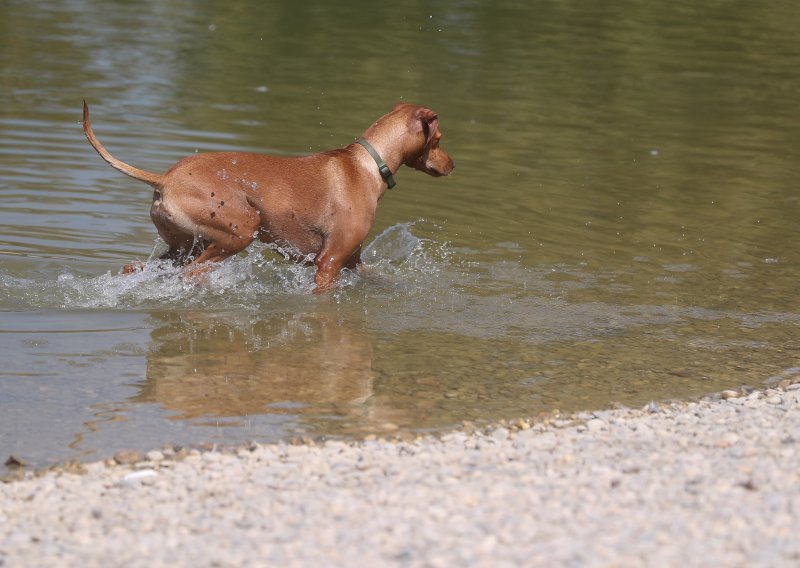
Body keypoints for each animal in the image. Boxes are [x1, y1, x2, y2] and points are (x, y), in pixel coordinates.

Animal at [85, 100, 456, 292]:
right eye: (438, 140)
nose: (453, 165)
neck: (368, 164)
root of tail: (164, 178)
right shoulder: (329, 263)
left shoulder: (353, 262)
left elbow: (383, 277)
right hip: (241, 230)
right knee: (191, 274)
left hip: (182, 246)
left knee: (136, 268)